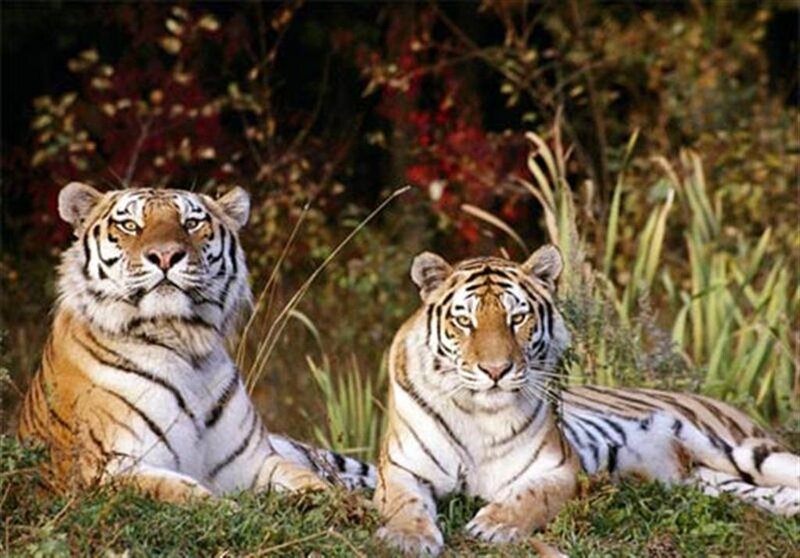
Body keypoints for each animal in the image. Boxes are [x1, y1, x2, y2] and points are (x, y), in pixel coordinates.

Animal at [17, 182, 375, 502]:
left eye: (191, 223)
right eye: (130, 225)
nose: (165, 255)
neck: (184, 342)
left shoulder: (255, 461)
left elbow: (313, 483)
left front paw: (354, 510)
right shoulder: (108, 470)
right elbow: (191, 496)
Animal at [374, 244, 799, 555]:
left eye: (517, 319)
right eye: (465, 321)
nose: (496, 371)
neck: (479, 413)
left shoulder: (559, 469)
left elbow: (528, 497)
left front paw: (494, 525)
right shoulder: (400, 468)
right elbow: (403, 503)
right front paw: (408, 537)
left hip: (739, 450)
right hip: (710, 481)